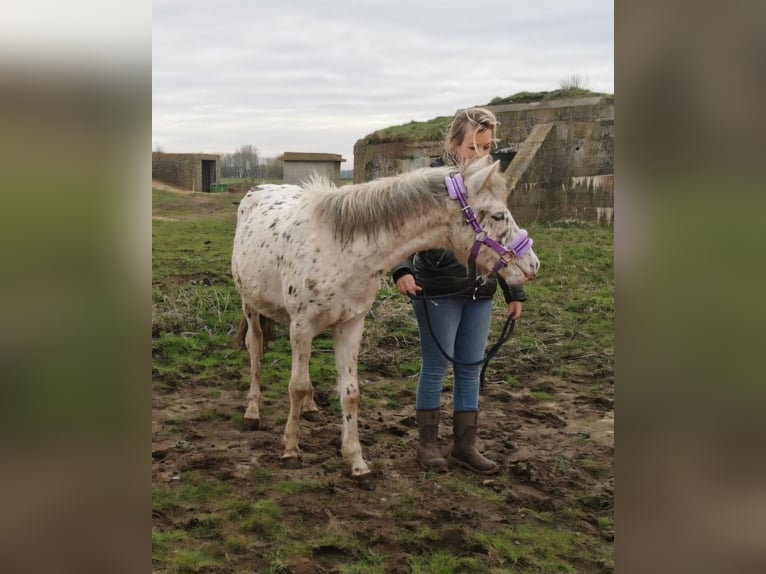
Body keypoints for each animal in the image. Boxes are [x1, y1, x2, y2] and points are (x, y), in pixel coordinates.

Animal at [231, 159, 536, 486]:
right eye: (497, 215)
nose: (532, 265)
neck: (341, 249)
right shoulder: (301, 325)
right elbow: (296, 387)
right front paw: (290, 450)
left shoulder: (350, 325)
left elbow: (350, 393)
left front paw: (357, 462)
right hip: (251, 306)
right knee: (255, 348)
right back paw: (252, 412)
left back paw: (311, 408)